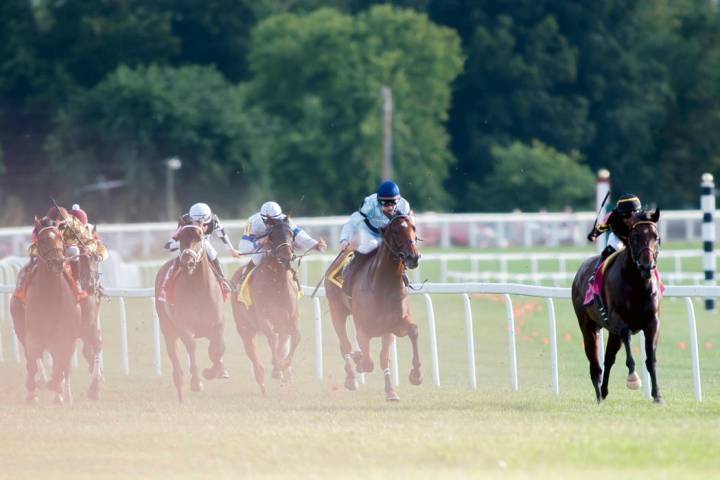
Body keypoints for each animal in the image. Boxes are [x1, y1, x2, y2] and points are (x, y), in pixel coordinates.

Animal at [9, 218, 81, 404]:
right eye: (41, 240)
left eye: (60, 238)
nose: (57, 261)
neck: (50, 297)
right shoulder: (33, 333)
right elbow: (33, 362)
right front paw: (34, 389)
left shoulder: (65, 334)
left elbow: (60, 364)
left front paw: (57, 389)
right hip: (22, 329)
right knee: (32, 359)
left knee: (61, 363)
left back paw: (61, 393)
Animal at [155, 224, 228, 402]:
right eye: (180, 238)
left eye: (199, 237)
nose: (187, 262)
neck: (198, 289)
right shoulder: (184, 326)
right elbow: (192, 346)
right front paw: (196, 382)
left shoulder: (217, 324)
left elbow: (218, 348)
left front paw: (214, 371)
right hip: (167, 329)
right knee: (174, 355)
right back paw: (179, 383)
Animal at [231, 218, 298, 394]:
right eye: (273, 235)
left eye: (291, 233)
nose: (287, 258)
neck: (276, 285)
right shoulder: (264, 319)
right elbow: (273, 339)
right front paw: (277, 370)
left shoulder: (290, 319)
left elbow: (295, 338)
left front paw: (283, 367)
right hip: (244, 327)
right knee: (251, 351)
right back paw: (261, 380)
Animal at [326, 214, 422, 402]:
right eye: (396, 231)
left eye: (414, 228)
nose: (413, 257)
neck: (383, 284)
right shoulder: (363, 327)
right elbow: (368, 362)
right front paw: (359, 362)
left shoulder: (393, 326)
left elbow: (411, 333)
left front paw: (414, 376)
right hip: (336, 311)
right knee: (345, 345)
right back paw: (351, 378)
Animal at [572, 208, 668, 404]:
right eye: (635, 237)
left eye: (656, 236)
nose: (647, 266)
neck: (638, 284)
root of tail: (579, 273)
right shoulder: (619, 321)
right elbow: (629, 348)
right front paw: (633, 379)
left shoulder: (652, 322)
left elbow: (651, 359)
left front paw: (657, 395)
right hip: (588, 326)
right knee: (595, 364)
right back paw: (598, 396)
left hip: (611, 334)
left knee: (608, 359)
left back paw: (604, 391)